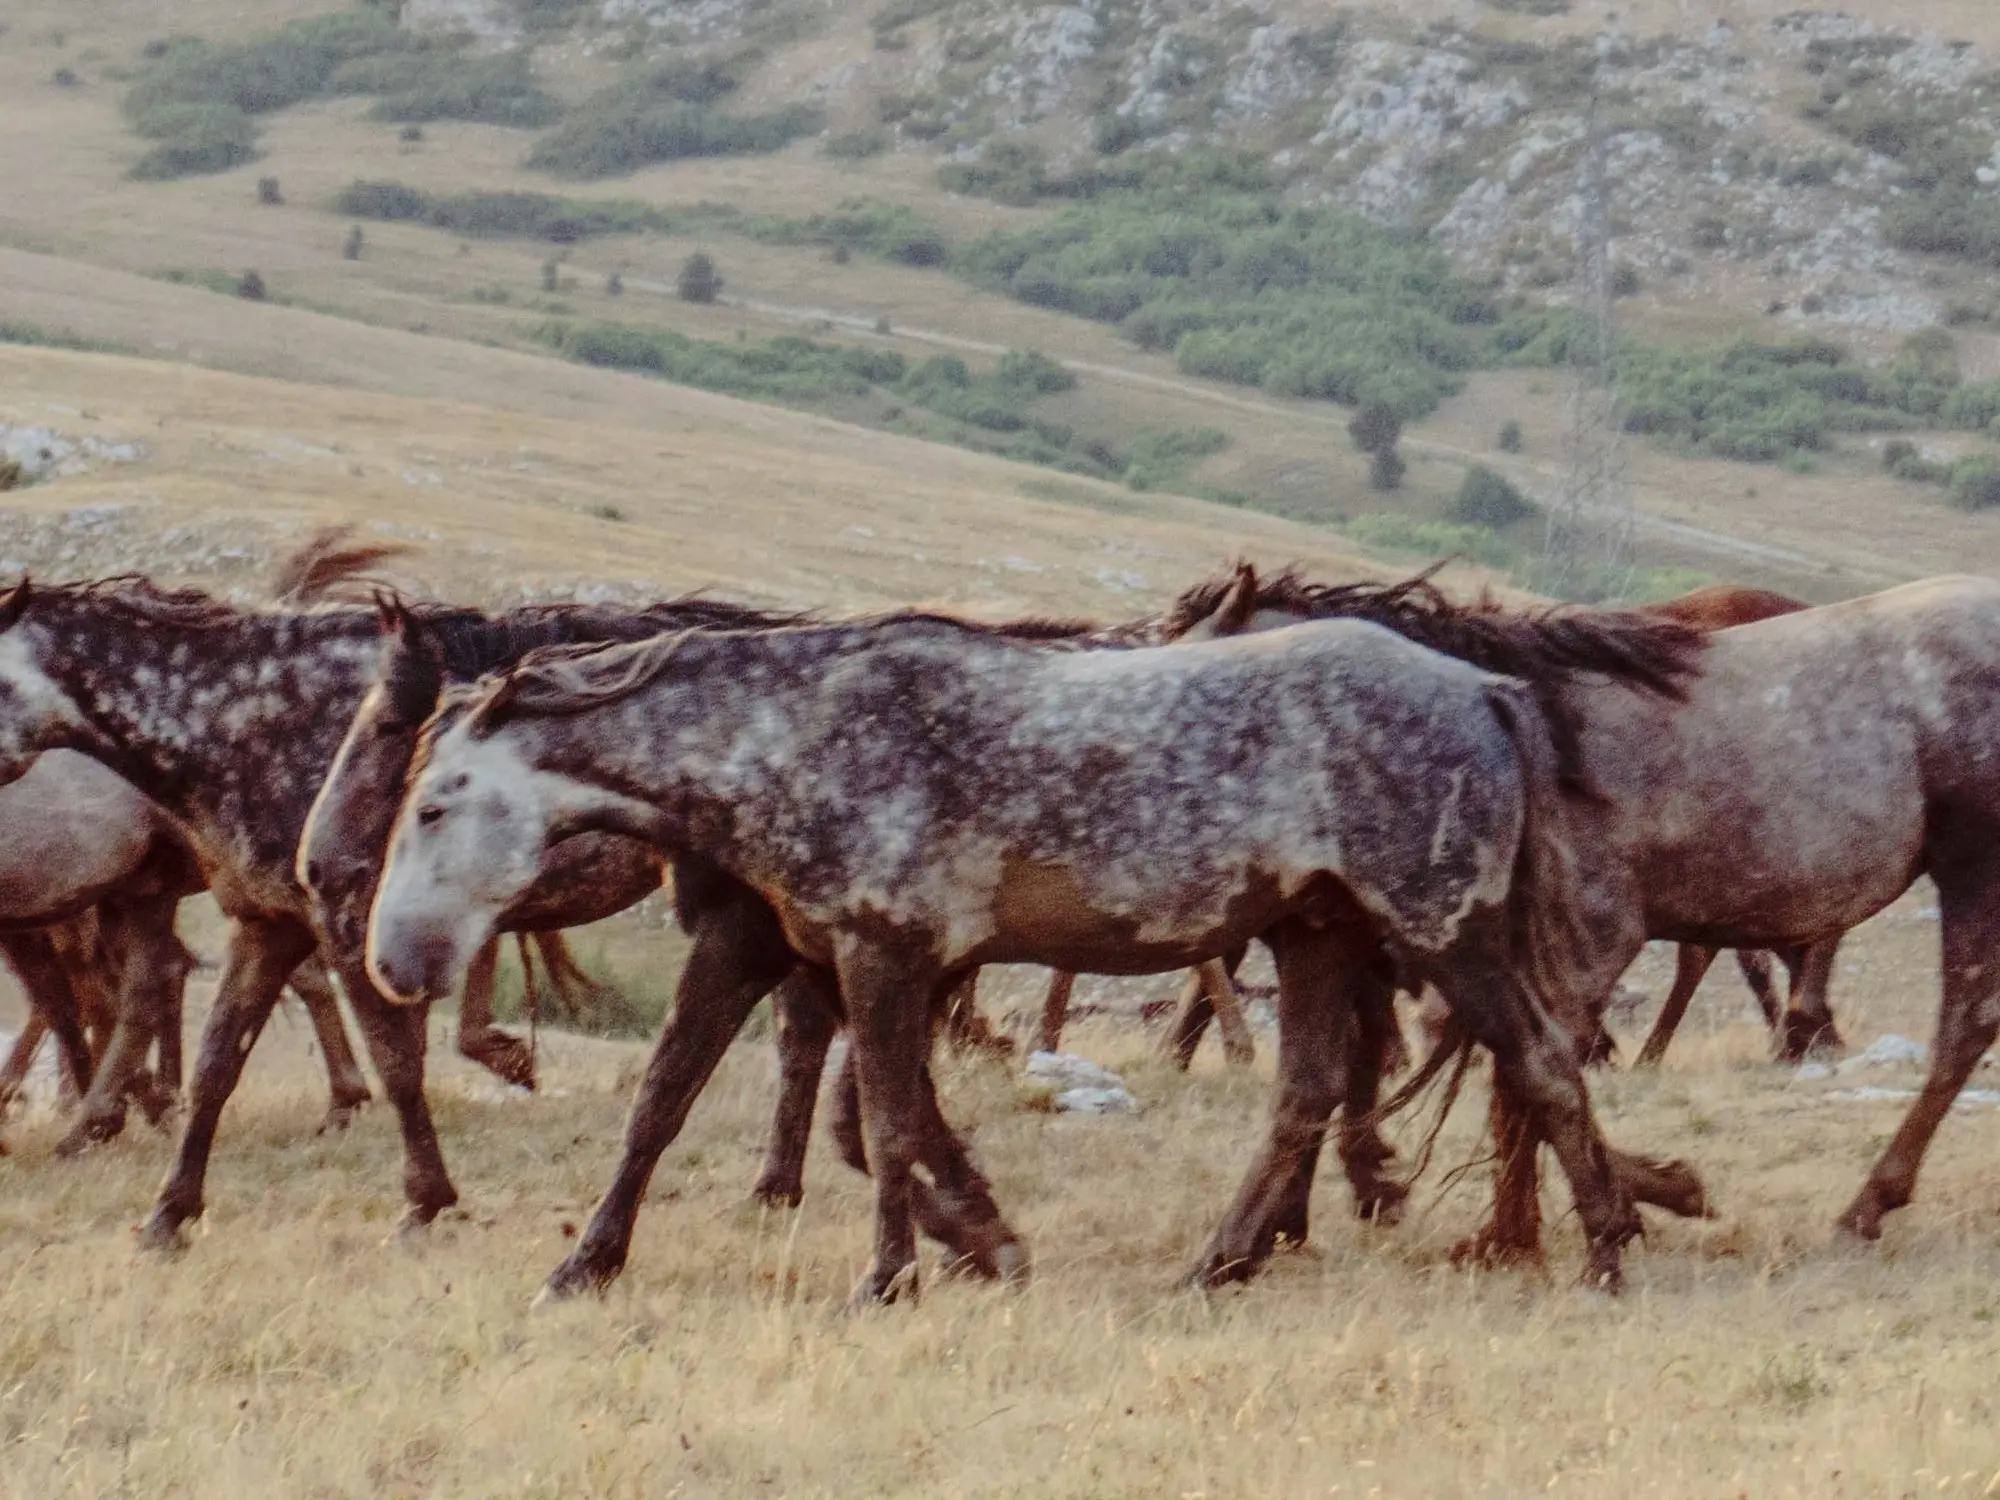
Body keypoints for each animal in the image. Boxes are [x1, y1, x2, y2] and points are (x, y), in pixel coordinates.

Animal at [364, 612, 1704, 1304]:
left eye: (432, 805)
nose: (394, 965)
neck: (790, 737)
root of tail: (1482, 689)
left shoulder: (881, 958)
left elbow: (886, 1121)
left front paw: (893, 1277)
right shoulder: (779, 952)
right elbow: (670, 1102)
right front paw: (583, 1265)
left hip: (1441, 933)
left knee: (1538, 1060)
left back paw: (1604, 1253)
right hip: (1318, 935)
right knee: (1310, 1092)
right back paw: (1216, 1265)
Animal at [1168, 568, 2000, 1264]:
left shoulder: (1580, 943)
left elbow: (1527, 1077)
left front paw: (1524, 1228)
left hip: (1971, 872)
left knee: (1963, 1025)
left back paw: (1866, 1205)